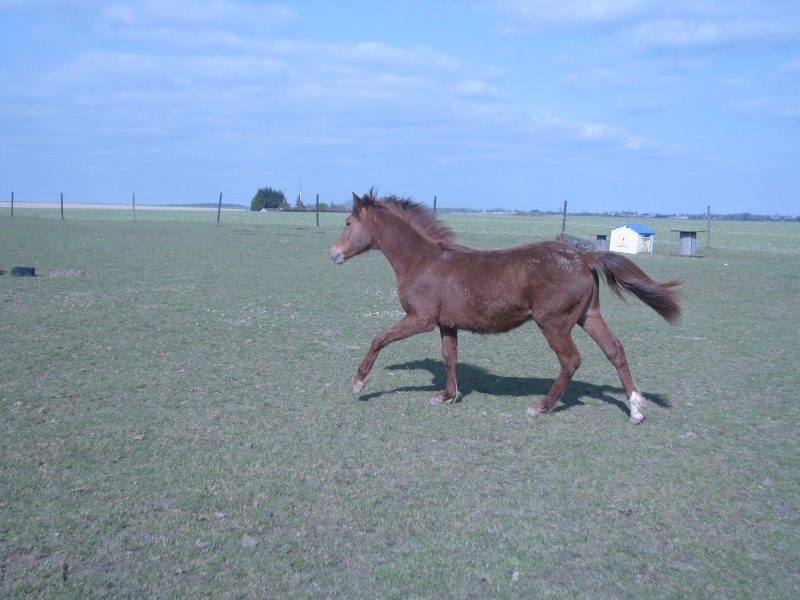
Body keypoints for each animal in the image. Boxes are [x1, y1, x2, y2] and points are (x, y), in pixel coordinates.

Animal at [328, 191, 680, 422]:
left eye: (347, 222)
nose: (334, 254)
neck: (423, 261)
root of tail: (584, 256)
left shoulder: (421, 318)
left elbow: (380, 338)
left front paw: (359, 383)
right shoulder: (446, 323)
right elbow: (449, 359)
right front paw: (447, 396)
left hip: (554, 323)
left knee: (571, 360)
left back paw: (542, 406)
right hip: (588, 316)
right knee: (615, 350)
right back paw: (636, 408)